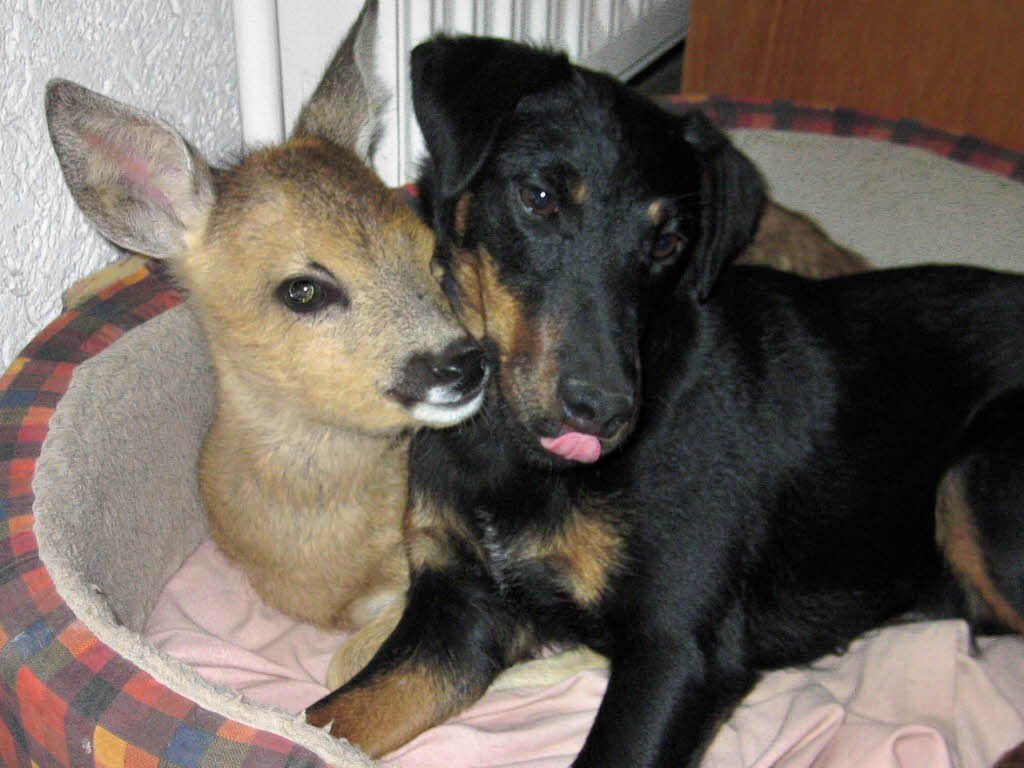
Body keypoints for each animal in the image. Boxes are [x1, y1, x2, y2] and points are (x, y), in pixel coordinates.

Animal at [306, 35, 1024, 766]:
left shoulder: (678, 649)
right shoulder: (461, 612)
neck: (510, 449)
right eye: (539, 198)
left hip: (977, 479)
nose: (604, 412)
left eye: (667, 242)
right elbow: (328, 718)